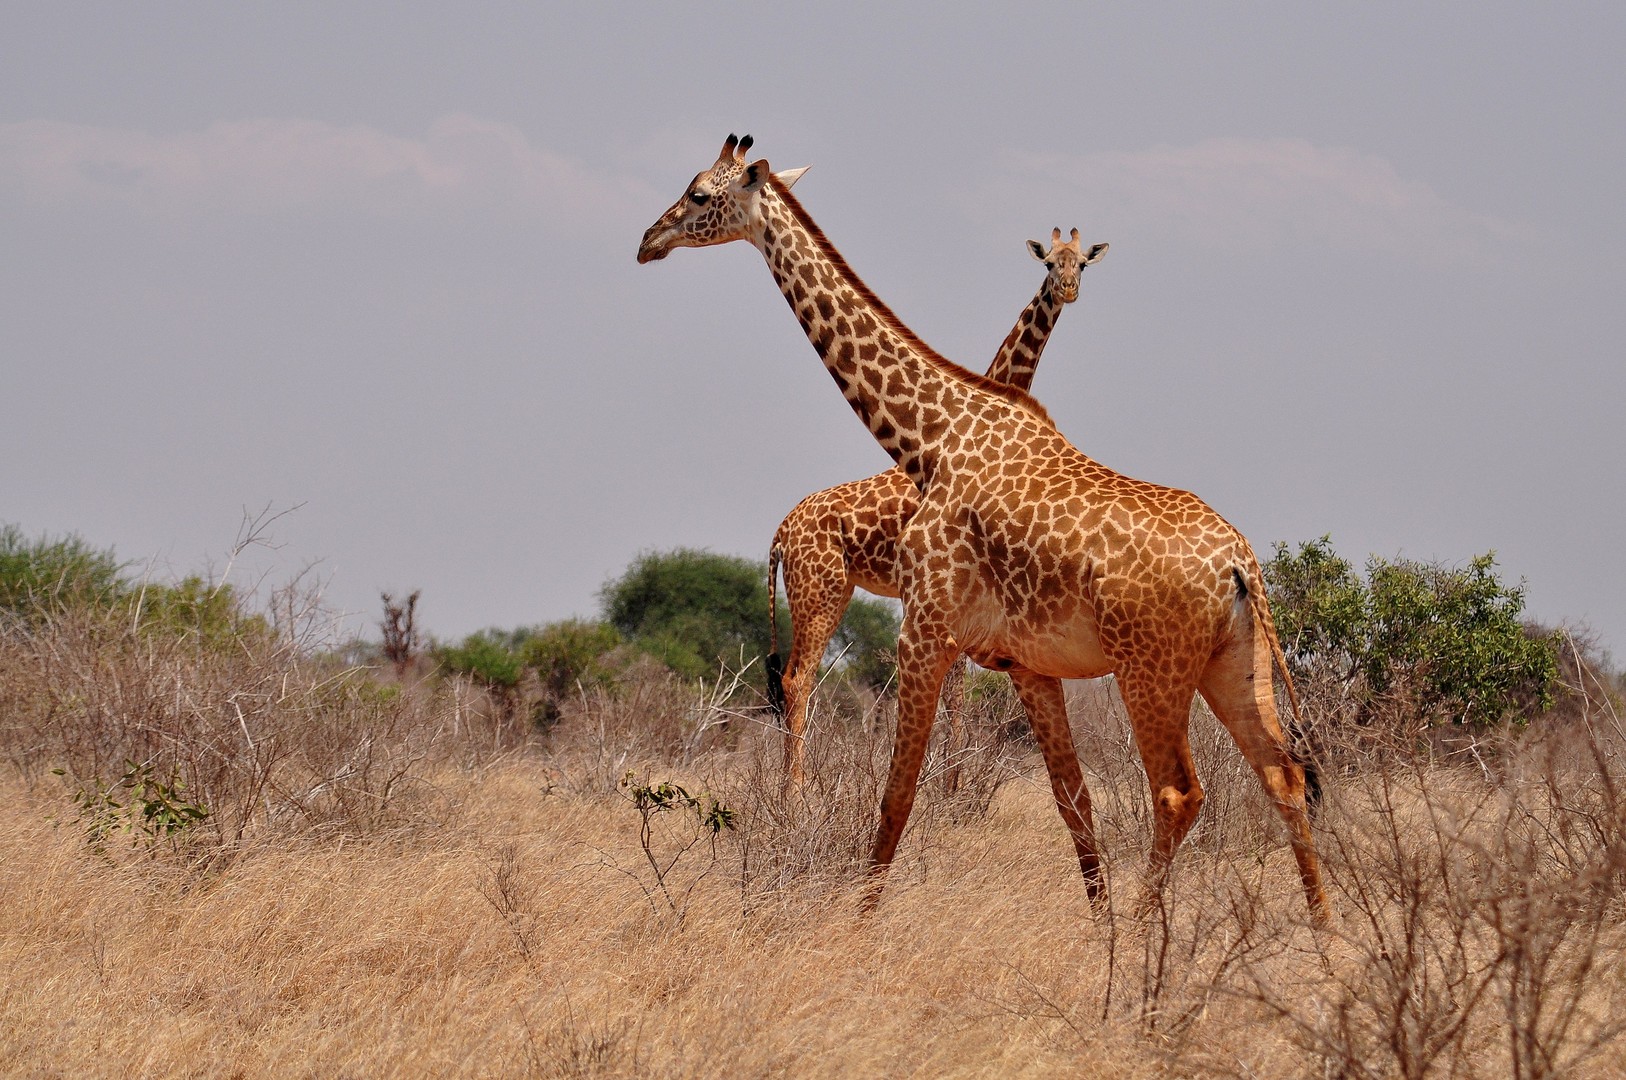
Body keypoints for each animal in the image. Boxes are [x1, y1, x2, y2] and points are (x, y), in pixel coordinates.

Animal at [764, 227, 1105, 790]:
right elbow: (955, 693)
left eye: (1082, 263)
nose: (1069, 289)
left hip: (824, 589)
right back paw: (795, 791)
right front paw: (945, 787)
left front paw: (949, 784)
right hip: (819, 588)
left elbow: (955, 692)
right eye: (1048, 264)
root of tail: (779, 533)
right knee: (796, 680)